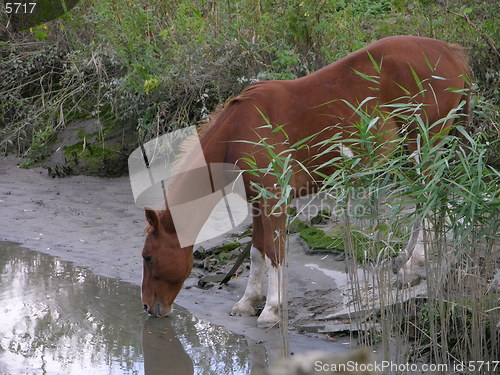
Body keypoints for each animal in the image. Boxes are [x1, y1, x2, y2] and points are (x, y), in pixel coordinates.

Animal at [140, 36, 468, 328]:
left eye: (148, 257)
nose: (148, 307)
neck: (238, 131)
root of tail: (452, 51)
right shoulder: (258, 201)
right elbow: (258, 251)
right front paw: (248, 301)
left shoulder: (274, 199)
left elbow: (275, 253)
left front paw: (271, 309)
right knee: (425, 201)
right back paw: (405, 259)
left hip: (424, 146)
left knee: (432, 198)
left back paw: (413, 266)